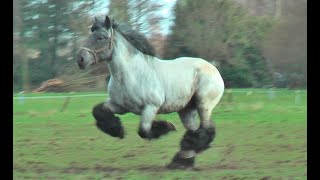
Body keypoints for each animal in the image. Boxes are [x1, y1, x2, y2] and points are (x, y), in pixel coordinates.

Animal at [76, 15, 224, 169]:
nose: (80, 59)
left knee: (206, 130)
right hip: (186, 110)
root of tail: (213, 68)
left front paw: (167, 127)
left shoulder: (150, 107)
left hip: (203, 104)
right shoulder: (119, 106)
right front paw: (117, 130)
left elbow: (144, 131)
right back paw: (182, 161)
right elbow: (97, 111)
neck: (129, 76)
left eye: (101, 37)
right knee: (194, 131)